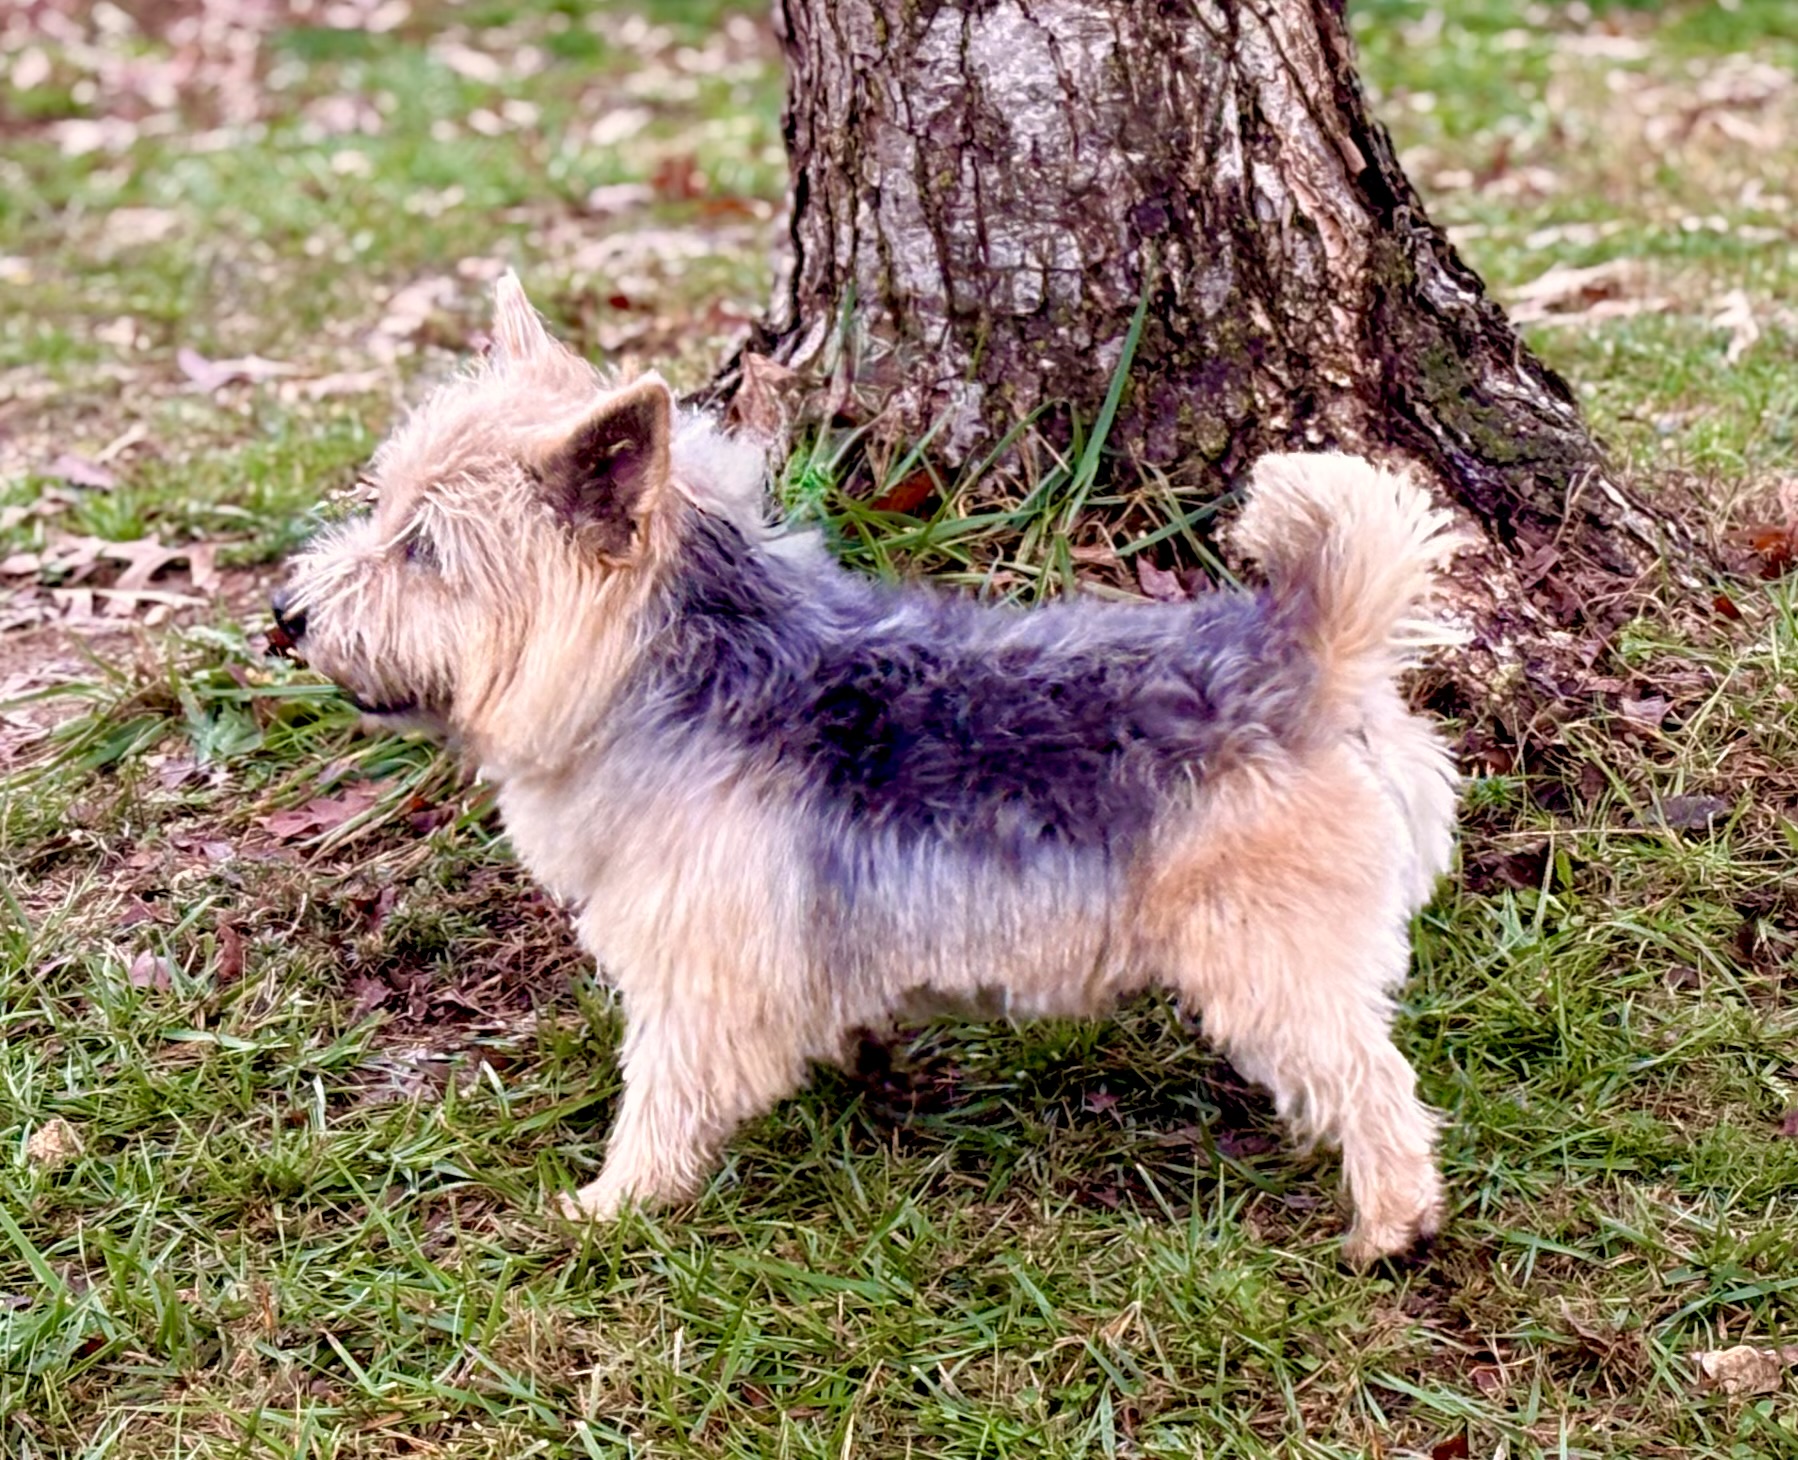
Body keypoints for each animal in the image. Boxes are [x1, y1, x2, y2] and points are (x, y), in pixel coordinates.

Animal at [274, 274, 1464, 1265]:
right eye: (382, 505)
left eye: (425, 551)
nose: (285, 615)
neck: (682, 664)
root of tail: (1304, 650)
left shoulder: (701, 967)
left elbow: (665, 1088)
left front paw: (617, 1203)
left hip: (1267, 958)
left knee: (1371, 1078)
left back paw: (1390, 1224)